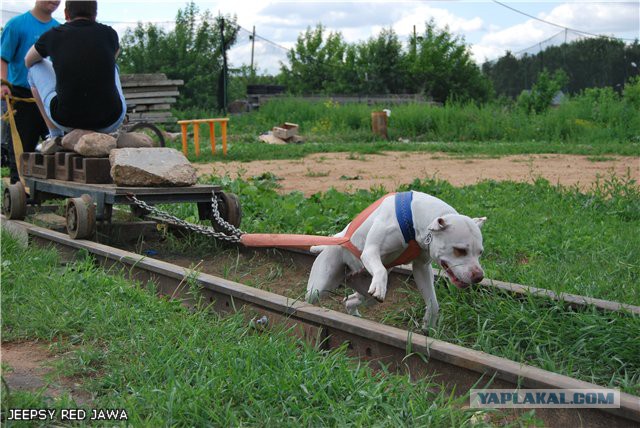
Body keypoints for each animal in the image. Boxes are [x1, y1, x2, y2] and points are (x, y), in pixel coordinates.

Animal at [304, 191, 484, 332]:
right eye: (460, 250)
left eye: (480, 252)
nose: (479, 276)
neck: (415, 219)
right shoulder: (370, 251)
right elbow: (381, 270)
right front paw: (379, 285)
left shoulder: (421, 267)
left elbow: (433, 303)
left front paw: (428, 326)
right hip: (318, 288)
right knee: (312, 298)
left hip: (366, 296)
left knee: (350, 300)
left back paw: (355, 317)